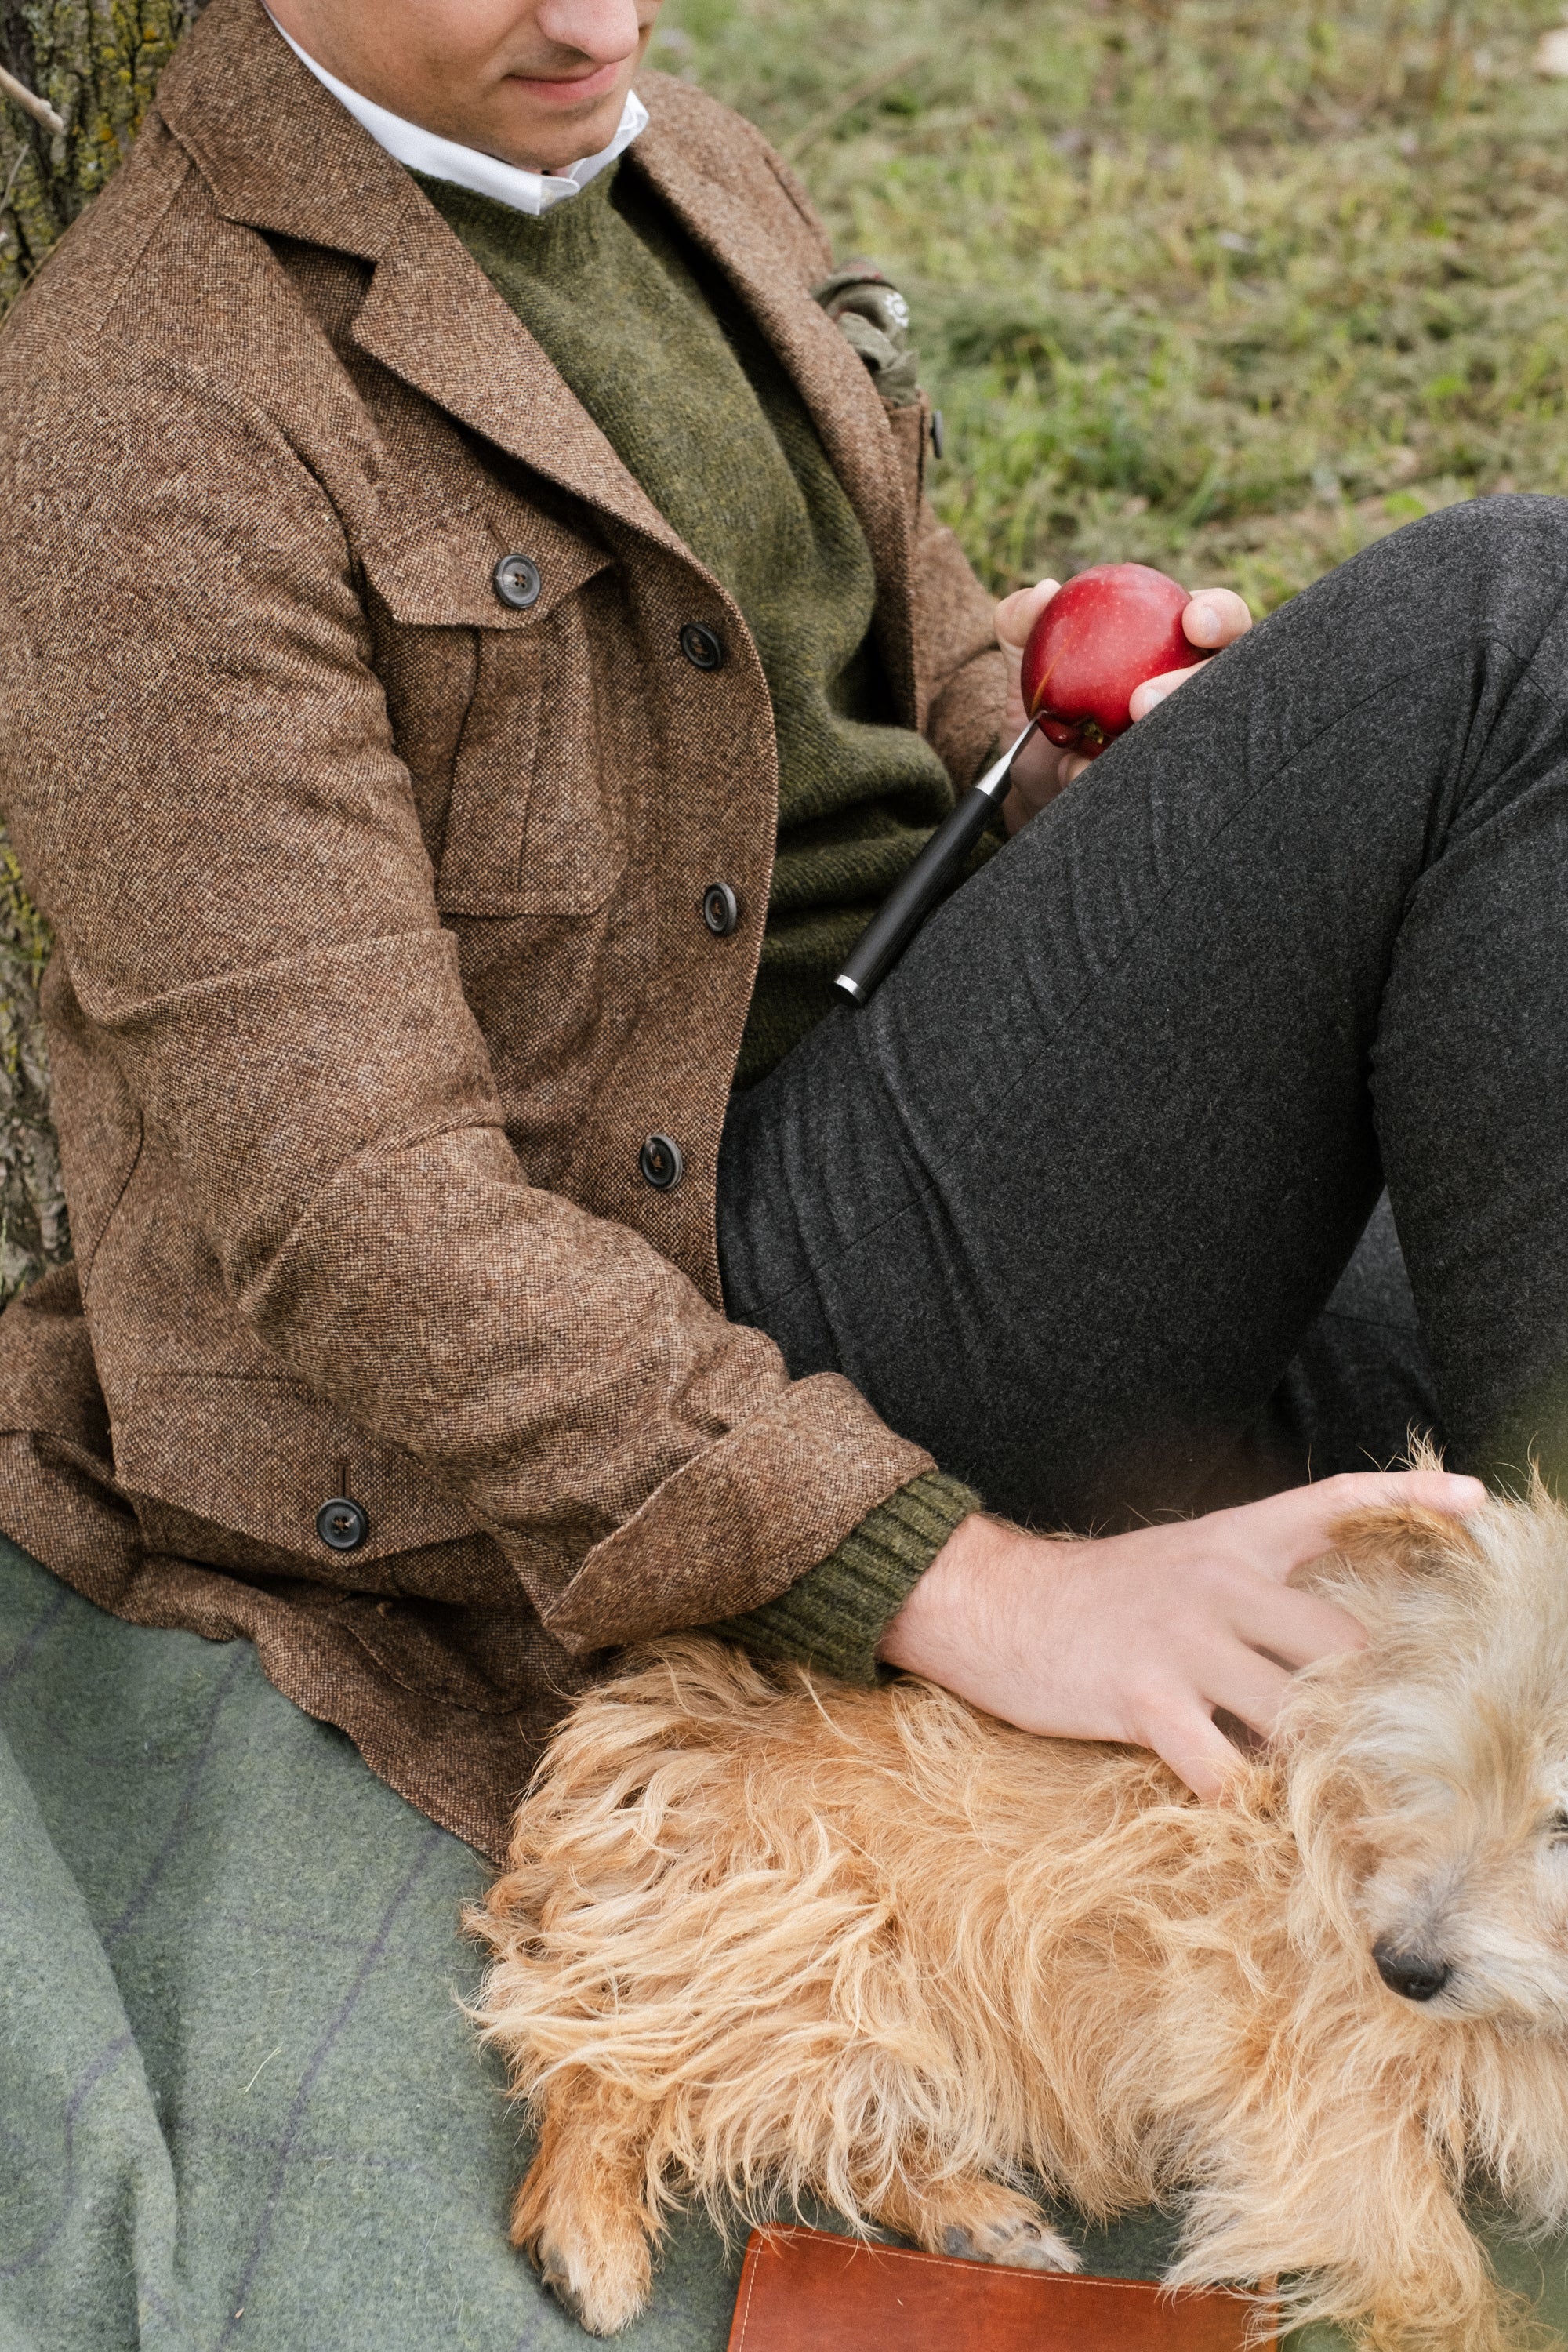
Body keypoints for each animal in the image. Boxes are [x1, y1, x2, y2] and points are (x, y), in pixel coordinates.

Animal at [472, 1486, 1568, 2352]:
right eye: (1423, 1769)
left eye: (1560, 1823)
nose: (1399, 1969)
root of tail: (678, 1726)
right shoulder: (1313, 2101)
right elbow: (1440, 2279)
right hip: (805, 1951)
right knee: (599, 2053)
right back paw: (587, 2232)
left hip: (873, 2019)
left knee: (832, 2121)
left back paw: (971, 2225)